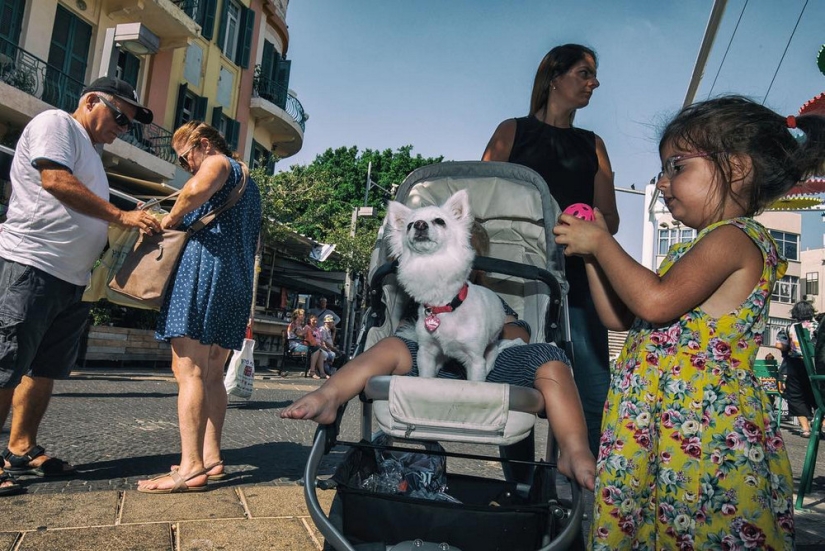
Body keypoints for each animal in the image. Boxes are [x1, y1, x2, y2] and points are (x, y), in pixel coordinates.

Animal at [384, 188, 502, 382]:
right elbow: (425, 376)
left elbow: (476, 381)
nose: (419, 224)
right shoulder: (426, 353)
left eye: (440, 221)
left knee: (493, 350)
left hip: (491, 343)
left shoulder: (476, 360)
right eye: (409, 225)